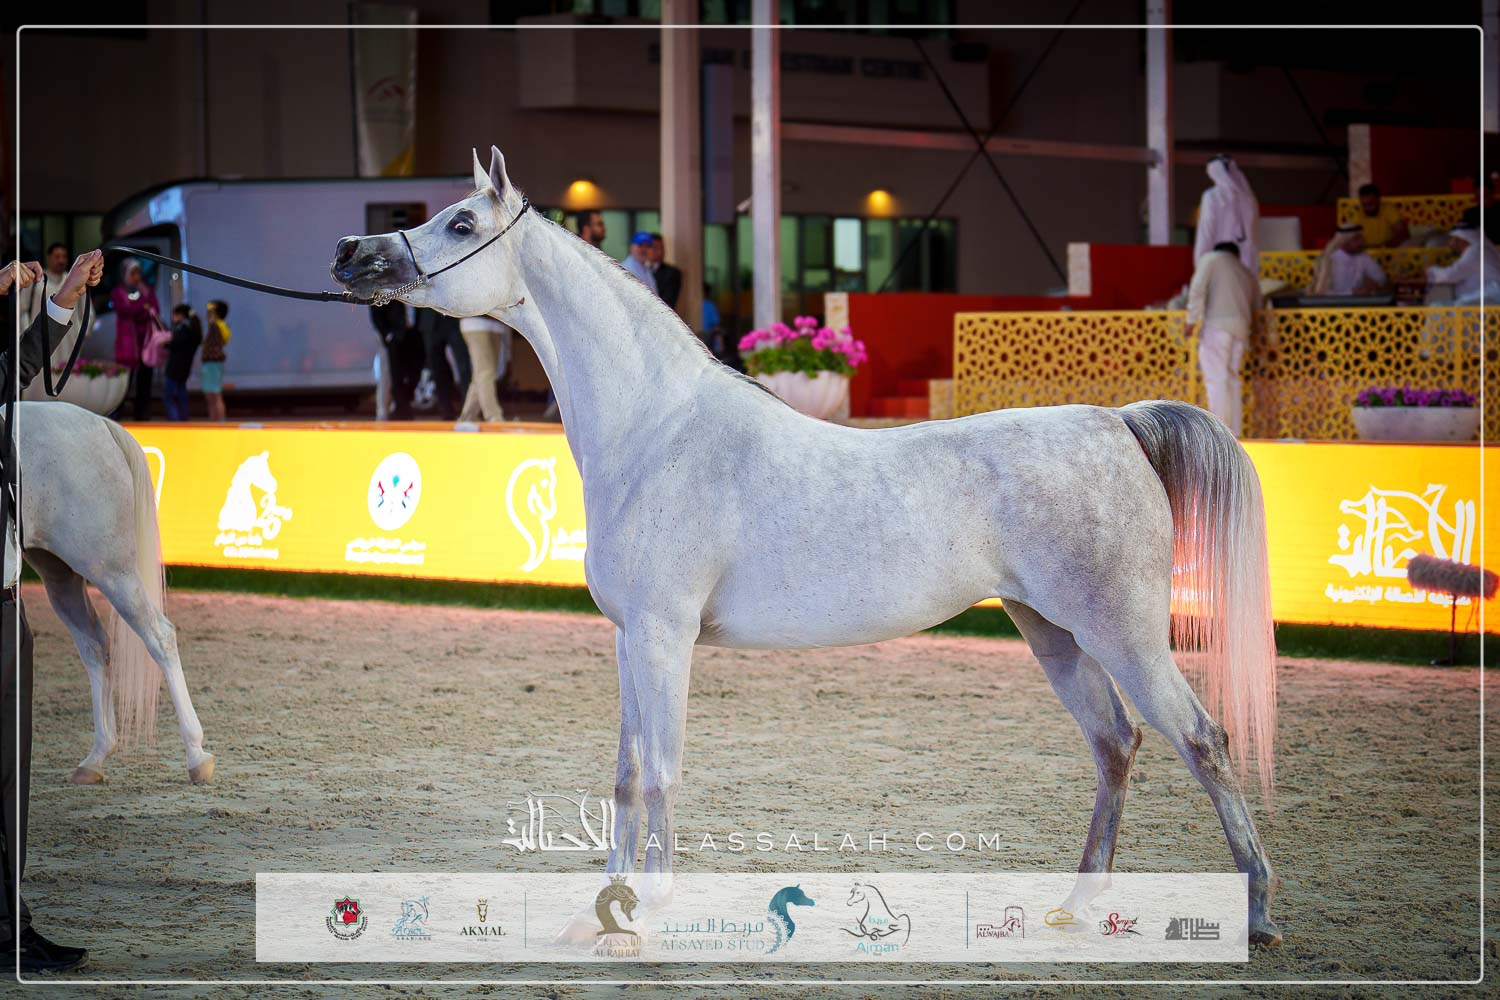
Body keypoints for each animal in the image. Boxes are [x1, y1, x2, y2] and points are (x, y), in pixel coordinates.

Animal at [15, 401, 214, 784]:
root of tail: (98, 422)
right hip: (59, 576)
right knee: (94, 646)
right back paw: (96, 758)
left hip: (110, 568)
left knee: (159, 636)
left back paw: (197, 756)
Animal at [330, 146, 1282, 946]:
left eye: (461, 223)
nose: (349, 252)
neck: (658, 430)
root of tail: (1118, 422)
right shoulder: (630, 639)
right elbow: (627, 774)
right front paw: (603, 909)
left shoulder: (666, 637)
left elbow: (661, 770)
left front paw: (652, 906)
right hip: (1051, 630)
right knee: (1115, 744)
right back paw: (1077, 905)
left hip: (1123, 632)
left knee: (1203, 741)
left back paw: (1259, 915)